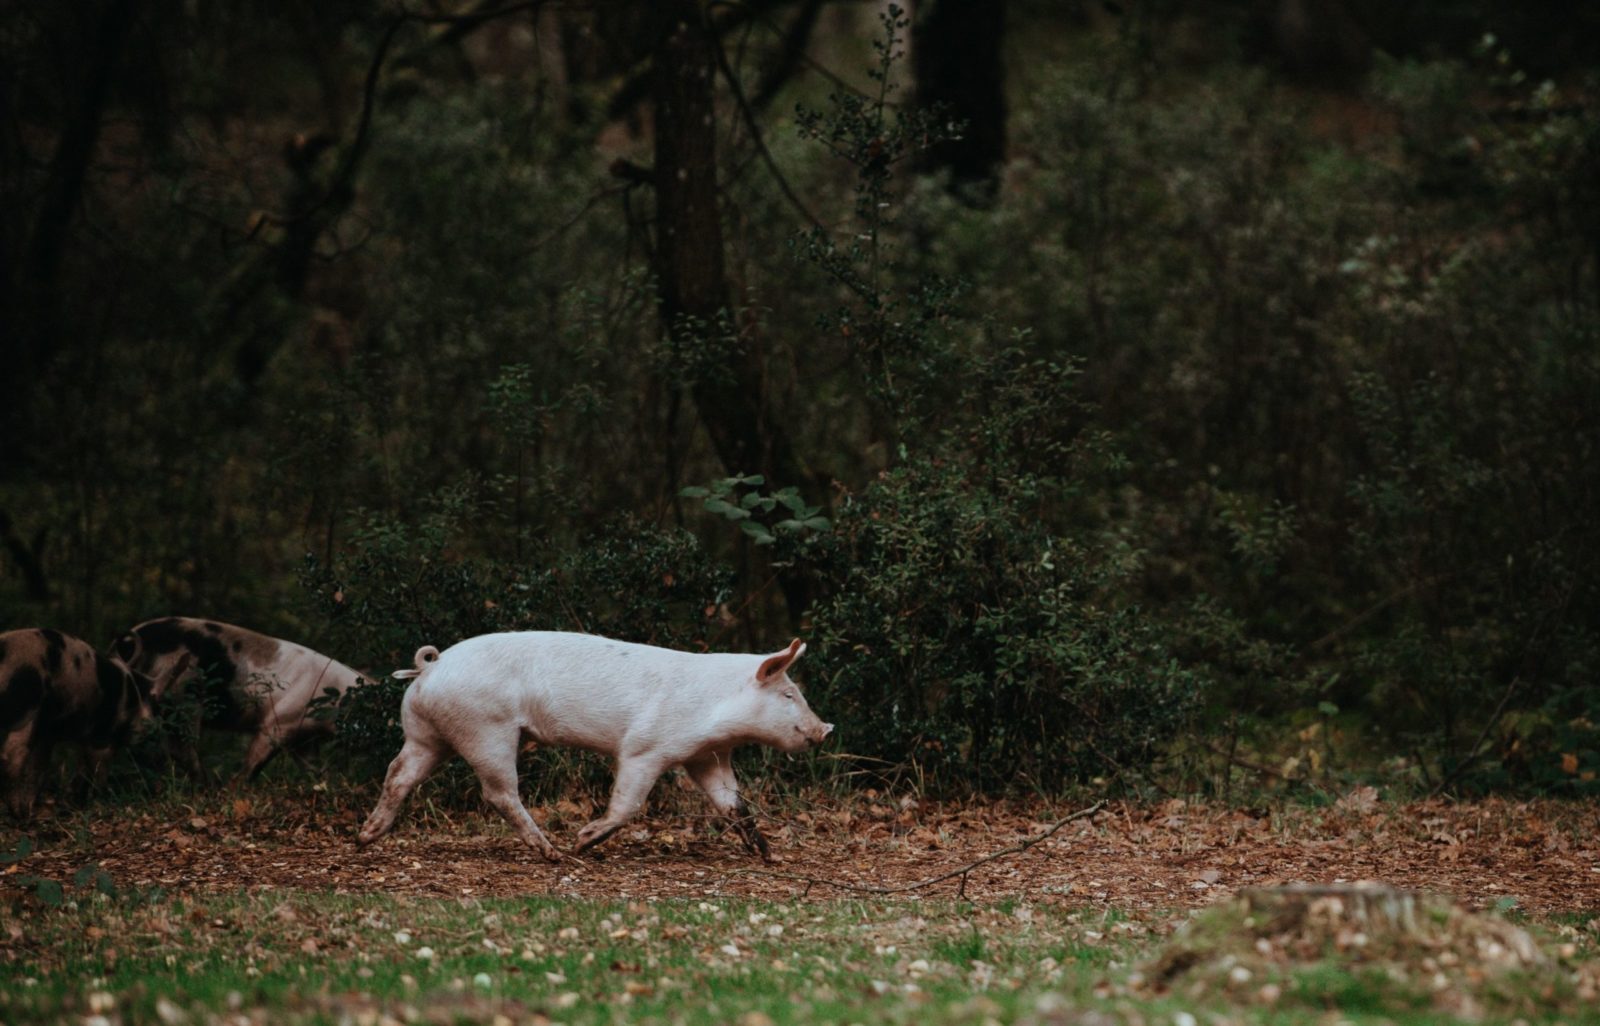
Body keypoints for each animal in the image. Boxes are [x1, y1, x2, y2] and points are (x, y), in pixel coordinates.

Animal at [0, 624, 171, 816]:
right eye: (154, 703)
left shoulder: (49, 733)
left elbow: (42, 766)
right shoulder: (101, 734)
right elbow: (97, 767)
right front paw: (101, 800)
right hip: (28, 707)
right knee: (12, 756)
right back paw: (18, 813)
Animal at [111, 614, 364, 774]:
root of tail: (128, 640)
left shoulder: (304, 739)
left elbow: (313, 768)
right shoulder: (278, 721)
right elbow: (254, 761)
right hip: (183, 696)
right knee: (181, 749)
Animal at [356, 627, 832, 857]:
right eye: (788, 695)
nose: (825, 729)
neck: (716, 712)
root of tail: (431, 667)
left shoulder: (707, 757)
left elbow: (734, 804)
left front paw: (769, 856)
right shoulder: (644, 748)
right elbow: (628, 803)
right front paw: (584, 840)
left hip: (426, 734)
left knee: (398, 774)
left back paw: (365, 837)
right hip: (487, 729)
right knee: (499, 793)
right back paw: (555, 853)